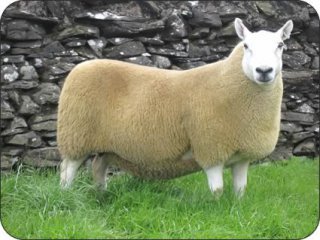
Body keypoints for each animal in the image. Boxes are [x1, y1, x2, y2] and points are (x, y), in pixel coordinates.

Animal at [57, 18, 292, 197]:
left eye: (280, 45)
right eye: (246, 46)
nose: (264, 71)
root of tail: (80, 66)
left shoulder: (242, 156)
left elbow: (240, 190)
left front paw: (236, 208)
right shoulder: (210, 148)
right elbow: (217, 190)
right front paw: (217, 207)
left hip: (107, 143)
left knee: (99, 166)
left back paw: (102, 194)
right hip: (75, 135)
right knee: (67, 171)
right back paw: (67, 196)